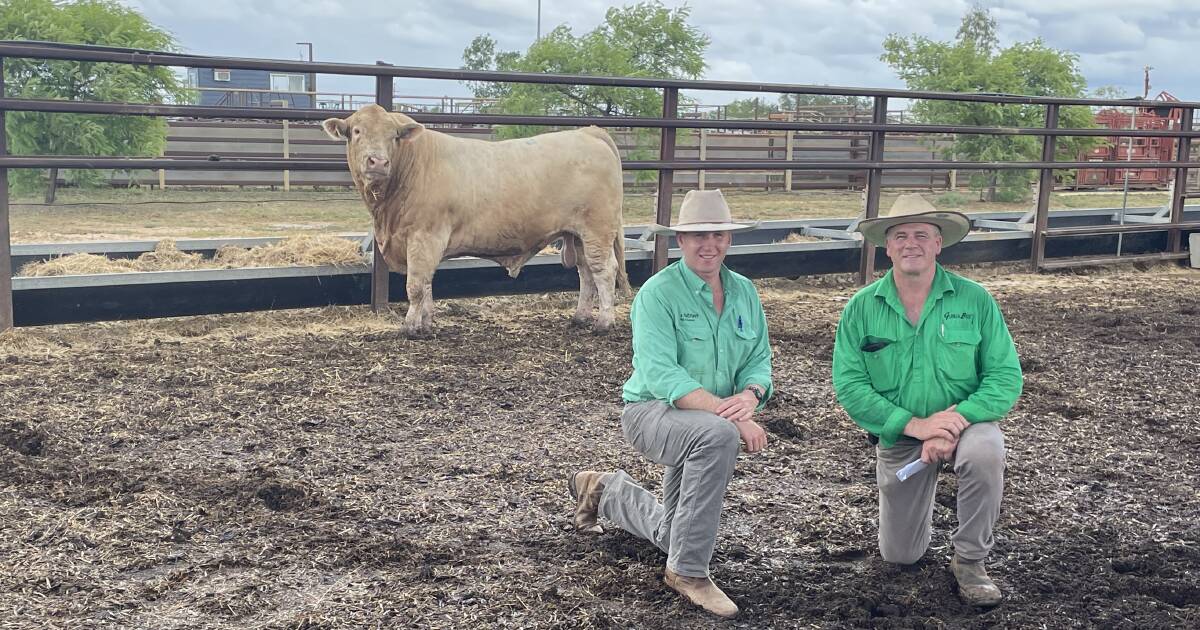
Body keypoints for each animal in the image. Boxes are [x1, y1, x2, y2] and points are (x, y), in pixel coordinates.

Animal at [324, 105, 633, 336]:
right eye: (356, 131)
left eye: (394, 136)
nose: (377, 162)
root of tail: (588, 132)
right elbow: (427, 285)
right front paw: (426, 324)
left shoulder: (425, 236)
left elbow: (416, 285)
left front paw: (410, 327)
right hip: (577, 235)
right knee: (586, 273)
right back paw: (580, 317)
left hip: (597, 230)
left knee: (604, 271)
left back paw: (603, 323)